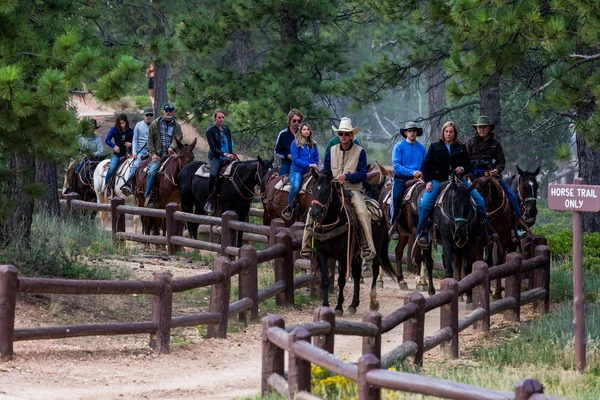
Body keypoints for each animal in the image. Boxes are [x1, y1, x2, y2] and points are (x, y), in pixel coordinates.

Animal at [310, 169, 398, 316]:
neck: (333, 222)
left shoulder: (344, 255)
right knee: (357, 274)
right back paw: (353, 304)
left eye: (327, 189)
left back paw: (373, 301)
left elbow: (341, 280)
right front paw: (325, 306)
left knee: (375, 270)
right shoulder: (323, 254)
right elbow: (325, 280)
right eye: (313, 189)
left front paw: (338, 307)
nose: (314, 213)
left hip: (375, 248)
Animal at [426, 175, 478, 304]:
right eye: (453, 204)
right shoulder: (447, 241)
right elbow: (449, 269)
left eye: (468, 205)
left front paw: (469, 297)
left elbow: (468, 269)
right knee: (429, 261)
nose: (460, 231)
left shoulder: (471, 242)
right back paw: (431, 290)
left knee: (458, 265)